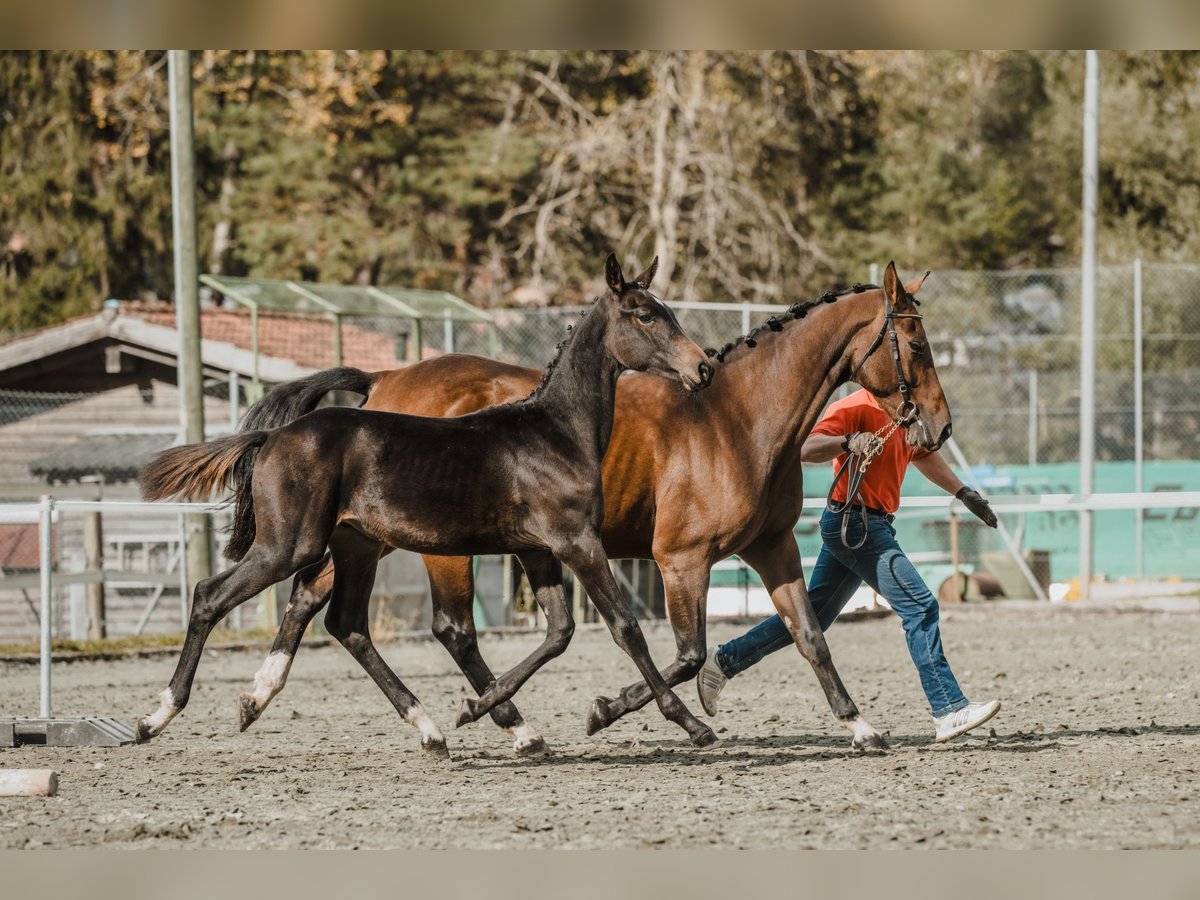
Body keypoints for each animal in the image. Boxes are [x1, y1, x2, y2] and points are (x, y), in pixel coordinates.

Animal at [135, 254, 715, 753]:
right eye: (645, 314)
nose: (703, 368)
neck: (555, 432)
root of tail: (274, 436)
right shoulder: (576, 542)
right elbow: (625, 628)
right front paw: (689, 723)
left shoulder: (538, 550)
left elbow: (559, 633)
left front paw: (479, 708)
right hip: (289, 546)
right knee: (210, 596)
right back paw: (155, 716)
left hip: (356, 546)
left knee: (346, 624)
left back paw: (427, 728)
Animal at [234, 260, 945, 753]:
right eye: (916, 345)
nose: (937, 428)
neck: (736, 418)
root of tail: (386, 378)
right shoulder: (679, 560)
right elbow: (684, 653)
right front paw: (614, 711)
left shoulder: (773, 547)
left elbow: (810, 637)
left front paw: (862, 727)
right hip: (435, 546)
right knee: (450, 629)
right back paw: (498, 722)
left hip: (362, 533)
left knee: (316, 603)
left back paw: (262, 696)